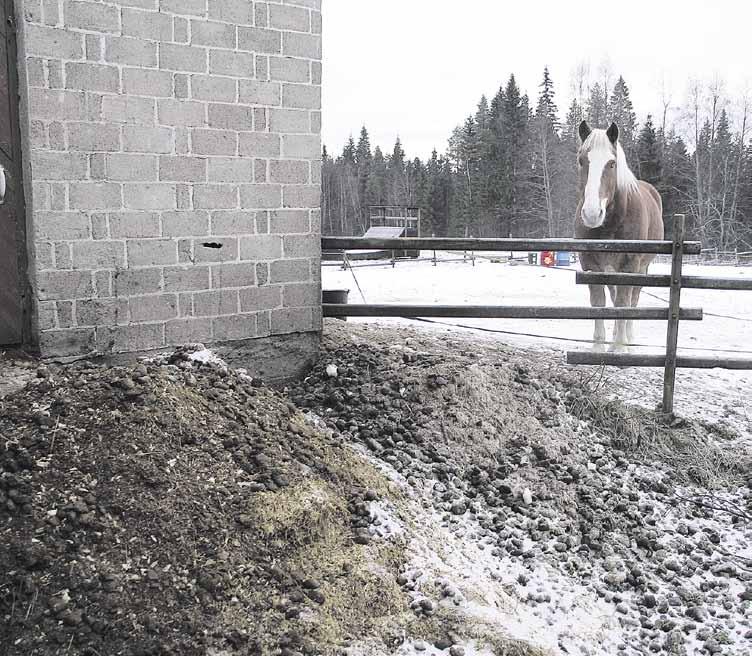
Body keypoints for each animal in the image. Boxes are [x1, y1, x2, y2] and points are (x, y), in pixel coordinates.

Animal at [576, 120, 664, 352]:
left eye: (611, 163)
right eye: (581, 160)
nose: (591, 214)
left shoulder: (630, 267)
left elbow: (625, 304)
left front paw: (620, 348)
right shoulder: (592, 267)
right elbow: (599, 304)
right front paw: (599, 348)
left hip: (641, 269)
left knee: (632, 300)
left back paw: (629, 340)